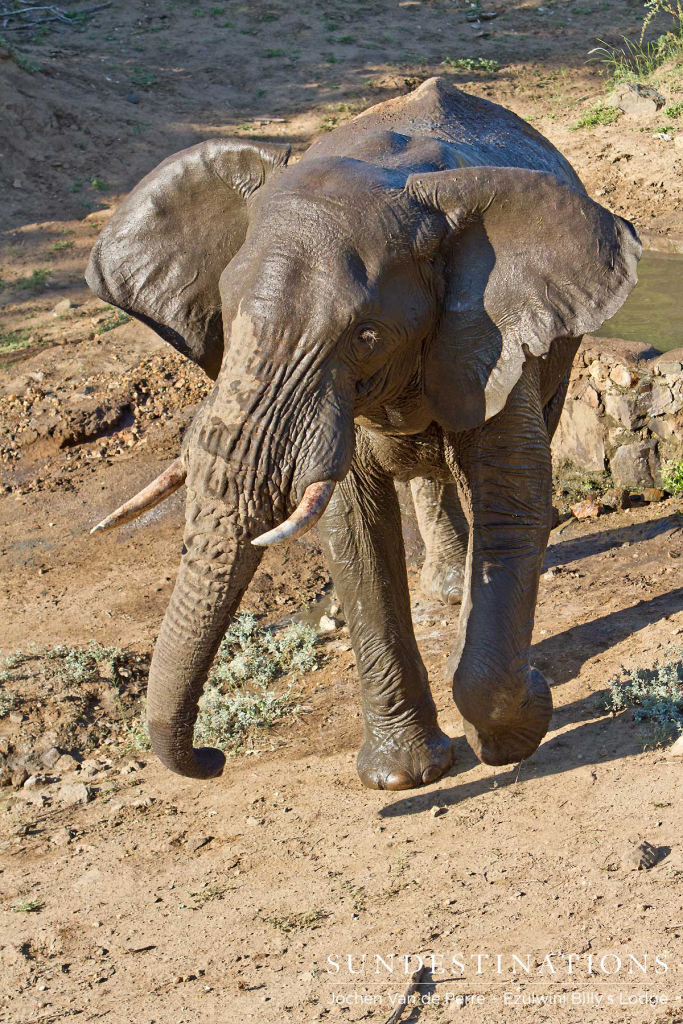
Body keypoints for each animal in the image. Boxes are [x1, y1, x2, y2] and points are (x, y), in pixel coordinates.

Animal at [87, 77, 643, 790]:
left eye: (367, 335)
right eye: (227, 316)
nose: (214, 758)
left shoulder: (494, 335)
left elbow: (511, 501)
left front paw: (523, 717)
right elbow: (351, 527)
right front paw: (404, 778)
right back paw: (447, 593)